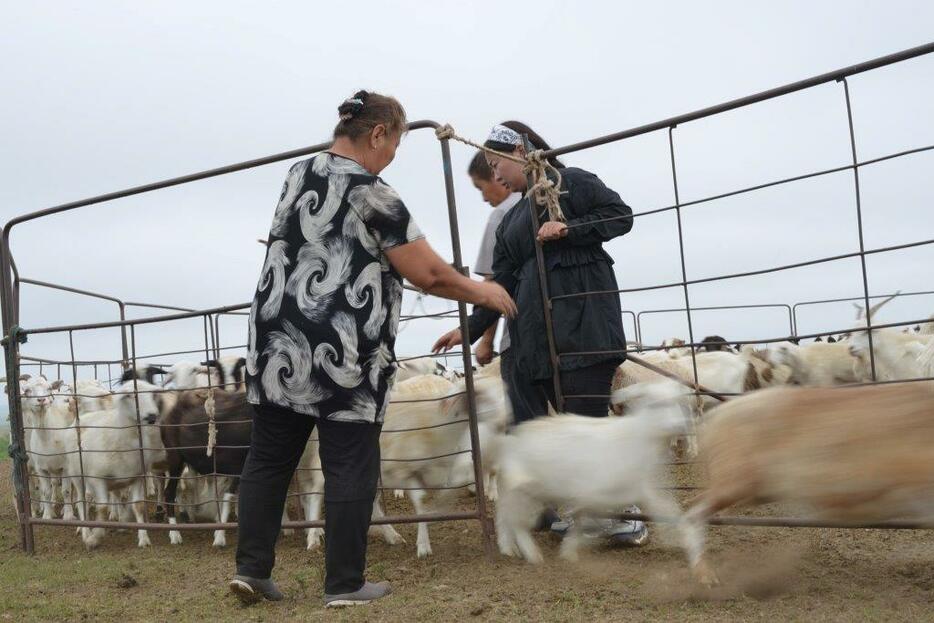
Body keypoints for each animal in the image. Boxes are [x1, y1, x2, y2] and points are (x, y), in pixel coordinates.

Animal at [66, 378, 168, 548]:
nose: (152, 415)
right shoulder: (97, 478)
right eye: (131, 396)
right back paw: (86, 531)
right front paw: (95, 537)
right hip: (77, 476)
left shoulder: (137, 476)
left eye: (151, 394)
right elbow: (102, 507)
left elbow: (138, 505)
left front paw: (143, 538)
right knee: (82, 502)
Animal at [498, 380, 704, 572]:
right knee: (513, 518)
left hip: (534, 491)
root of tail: (512, 440)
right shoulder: (593, 491)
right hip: (524, 489)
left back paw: (509, 547)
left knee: (505, 514)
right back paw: (526, 551)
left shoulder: (641, 489)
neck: (638, 437)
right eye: (655, 404)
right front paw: (574, 546)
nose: (678, 426)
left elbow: (670, 512)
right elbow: (585, 518)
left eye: (677, 402)